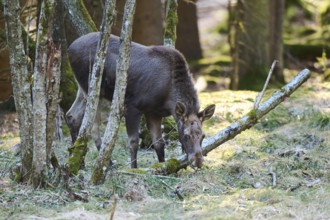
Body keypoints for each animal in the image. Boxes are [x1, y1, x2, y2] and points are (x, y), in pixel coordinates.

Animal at [67, 31, 217, 168]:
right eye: (186, 135)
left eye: (203, 136)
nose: (198, 162)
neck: (168, 98)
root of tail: (69, 48)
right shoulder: (132, 105)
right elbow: (133, 141)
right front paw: (134, 169)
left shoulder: (154, 112)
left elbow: (159, 142)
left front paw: (163, 167)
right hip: (93, 89)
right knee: (92, 126)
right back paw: (105, 163)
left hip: (83, 90)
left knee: (72, 116)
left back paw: (78, 161)